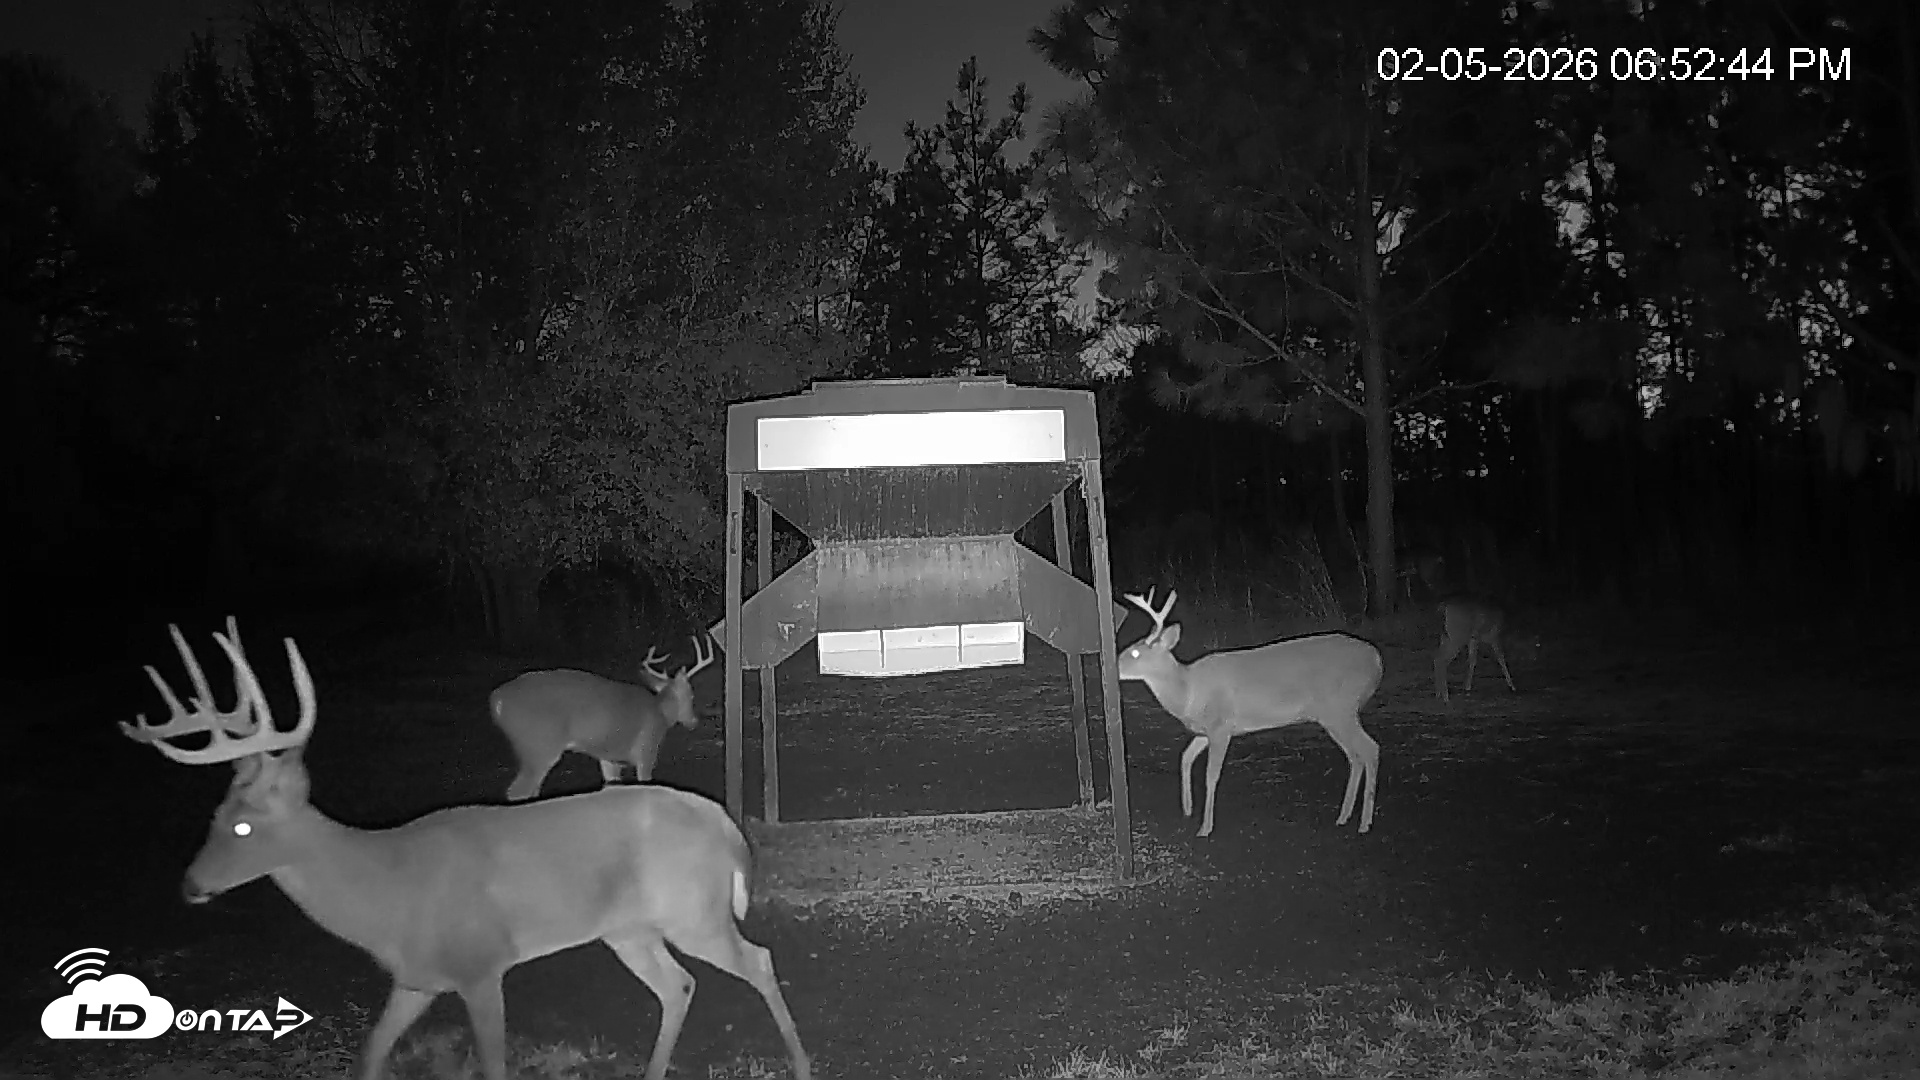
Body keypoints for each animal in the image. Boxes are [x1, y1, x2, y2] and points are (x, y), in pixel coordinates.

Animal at [489, 635, 716, 802]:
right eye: (691, 695)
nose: (694, 721)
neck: (659, 711)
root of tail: (497, 701)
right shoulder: (647, 749)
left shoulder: (609, 757)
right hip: (539, 745)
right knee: (517, 792)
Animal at [1115, 588, 1383, 837]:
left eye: (1135, 653)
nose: (1113, 666)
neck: (1188, 691)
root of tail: (1377, 661)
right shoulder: (1205, 730)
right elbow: (1185, 757)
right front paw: (1187, 809)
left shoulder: (1221, 726)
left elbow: (1211, 775)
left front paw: (1205, 827)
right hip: (1335, 714)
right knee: (1355, 756)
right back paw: (1344, 816)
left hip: (1340, 707)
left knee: (1370, 749)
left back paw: (1364, 823)